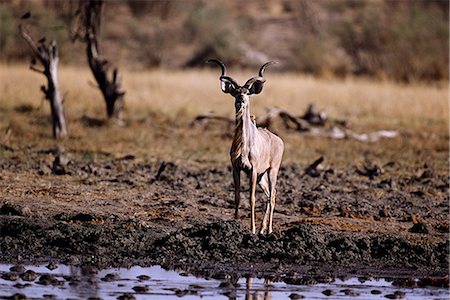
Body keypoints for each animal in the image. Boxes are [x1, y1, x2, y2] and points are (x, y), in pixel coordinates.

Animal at [208, 58, 284, 234]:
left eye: (247, 92)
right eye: (235, 92)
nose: (240, 100)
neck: (243, 147)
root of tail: (279, 140)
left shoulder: (253, 170)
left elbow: (251, 198)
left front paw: (252, 229)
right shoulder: (236, 168)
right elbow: (237, 196)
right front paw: (235, 223)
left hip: (272, 171)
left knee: (272, 195)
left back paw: (269, 230)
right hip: (262, 177)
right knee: (270, 194)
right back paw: (263, 229)